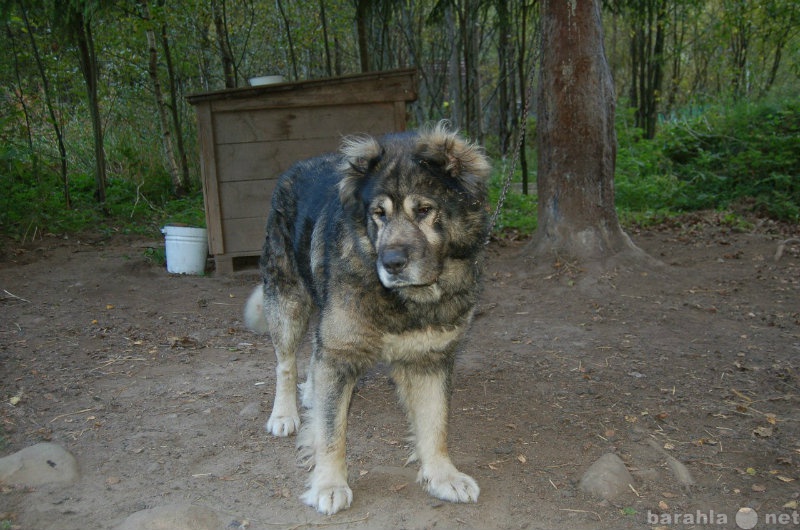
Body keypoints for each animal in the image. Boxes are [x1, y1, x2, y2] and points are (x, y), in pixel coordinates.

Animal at [244, 122, 490, 512]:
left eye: (424, 209)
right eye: (379, 213)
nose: (391, 263)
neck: (406, 299)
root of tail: (296, 167)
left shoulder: (431, 358)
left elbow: (435, 422)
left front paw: (442, 475)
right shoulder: (340, 352)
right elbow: (332, 431)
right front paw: (329, 483)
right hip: (286, 300)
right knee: (285, 363)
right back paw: (284, 414)